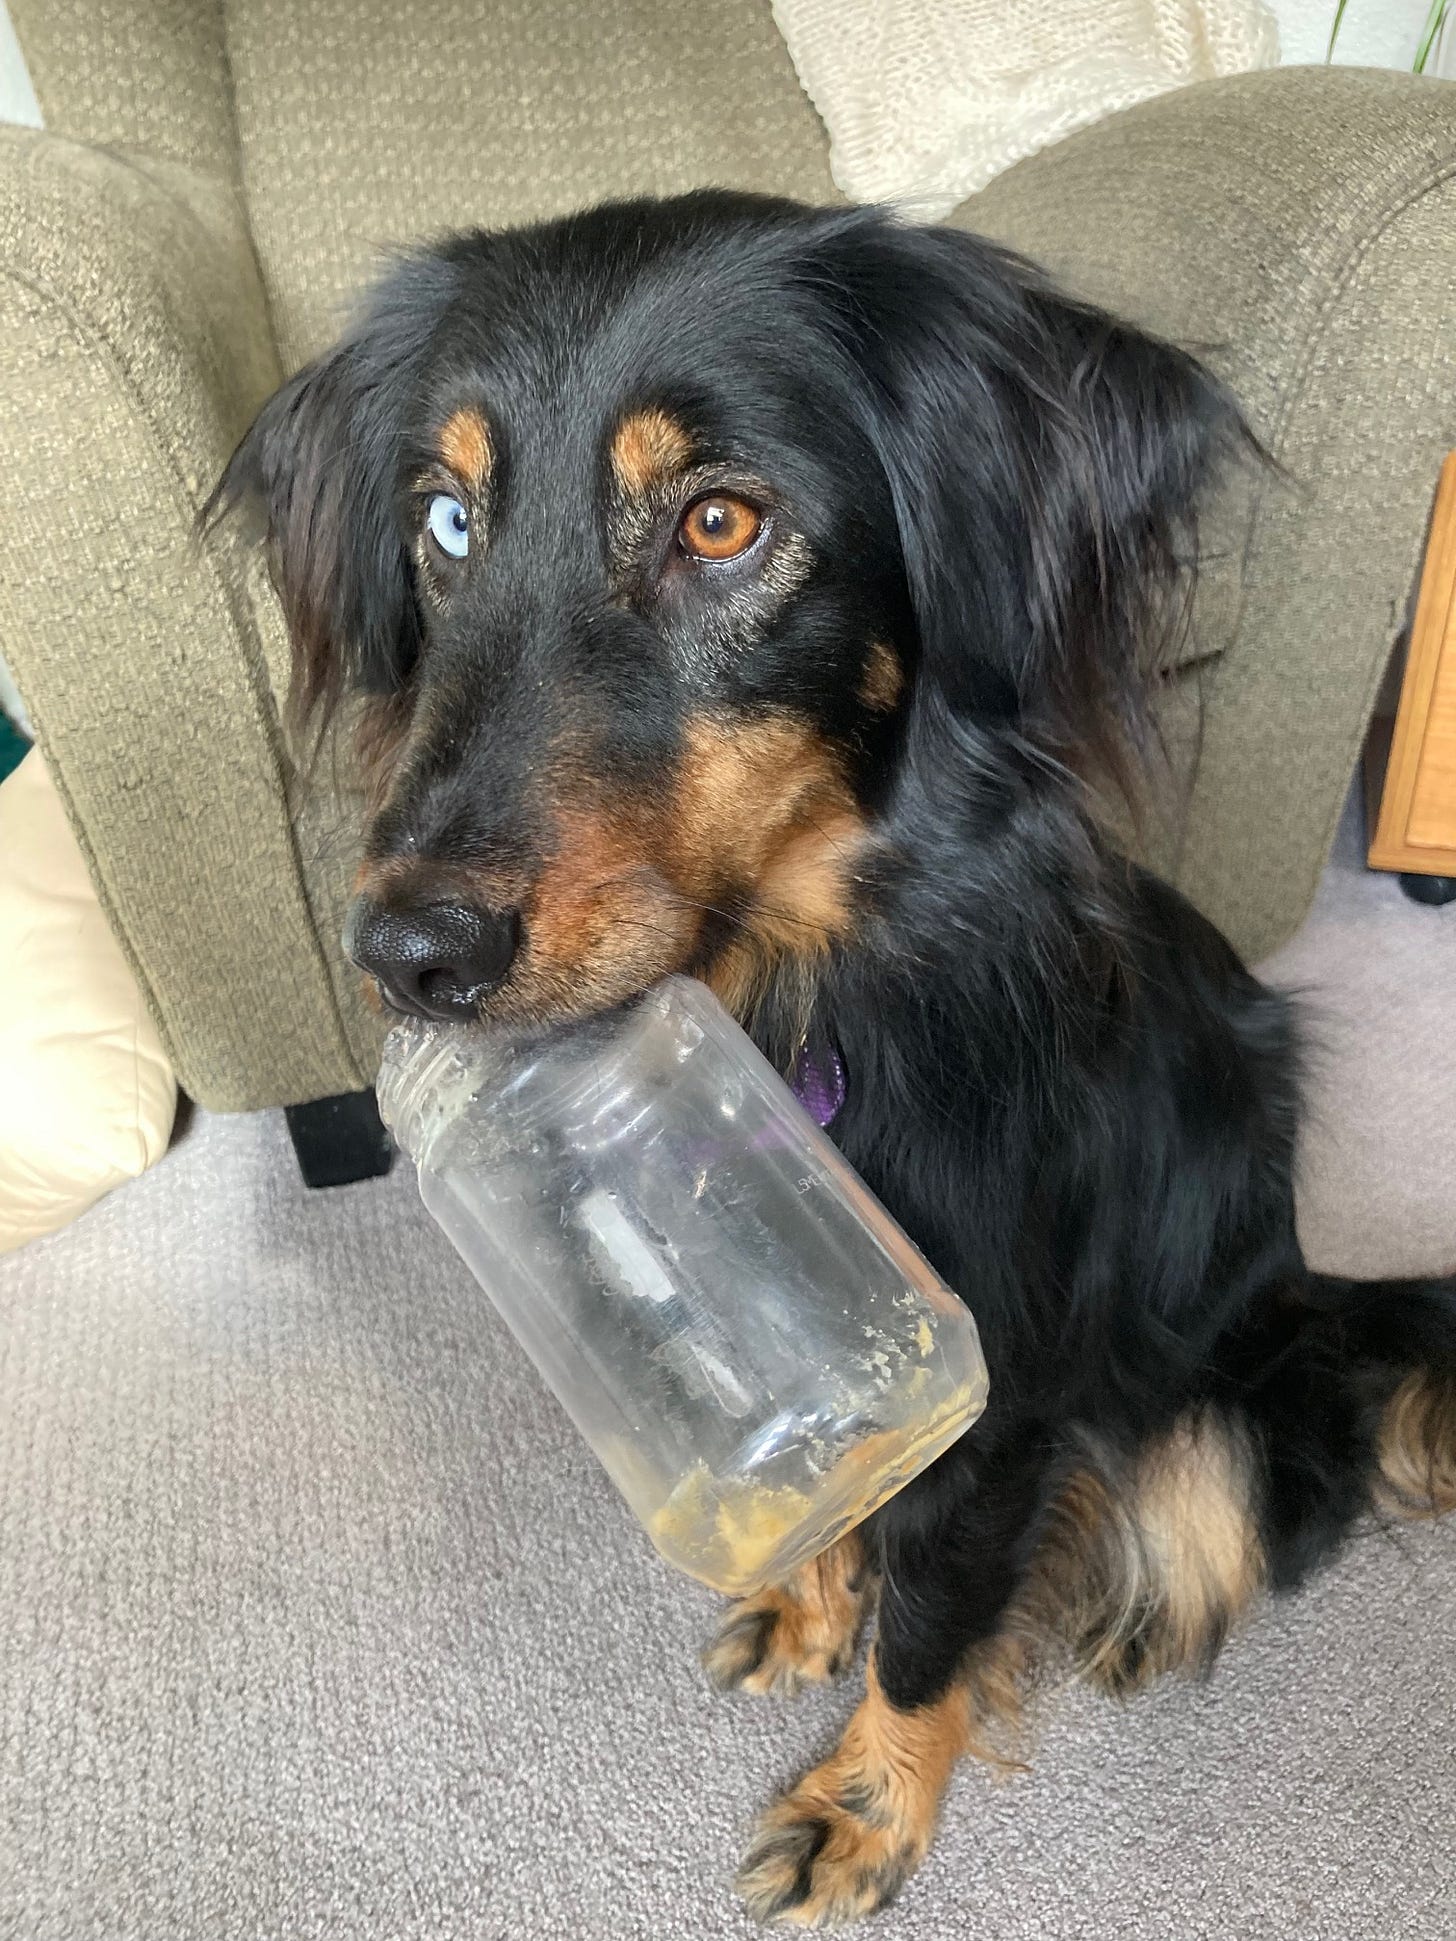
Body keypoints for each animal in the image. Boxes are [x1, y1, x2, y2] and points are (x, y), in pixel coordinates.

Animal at [216, 193, 1456, 1925]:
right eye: (447, 524)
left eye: (721, 524)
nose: (409, 956)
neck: (787, 1009)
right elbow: (831, 1491)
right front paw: (812, 1605)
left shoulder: (1001, 1389)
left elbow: (937, 1621)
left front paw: (867, 1804)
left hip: (1232, 1379)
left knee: (1219, 1498)